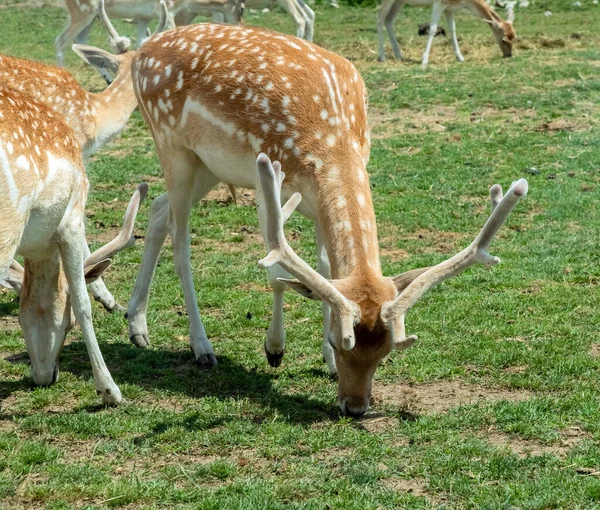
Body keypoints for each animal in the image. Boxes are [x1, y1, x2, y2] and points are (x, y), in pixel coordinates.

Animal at [0, 84, 145, 402]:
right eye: (69, 323)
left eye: (19, 321)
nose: (44, 377)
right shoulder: (73, 221)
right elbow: (82, 302)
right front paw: (109, 390)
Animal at [124, 21, 528, 416]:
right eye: (339, 341)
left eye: (385, 353)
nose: (356, 407)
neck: (331, 140)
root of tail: (139, 53)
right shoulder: (266, 177)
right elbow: (276, 272)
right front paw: (275, 349)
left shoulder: (317, 202)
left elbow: (324, 270)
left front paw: (326, 365)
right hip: (171, 146)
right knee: (181, 244)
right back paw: (201, 347)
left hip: (206, 165)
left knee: (158, 209)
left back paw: (136, 325)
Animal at [380, 0, 516, 66]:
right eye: (504, 40)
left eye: (514, 37)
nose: (509, 55)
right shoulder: (439, 3)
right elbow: (433, 29)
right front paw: (424, 61)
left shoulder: (449, 8)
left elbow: (453, 29)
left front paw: (460, 58)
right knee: (379, 19)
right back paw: (382, 57)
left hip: (400, 1)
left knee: (389, 20)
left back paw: (399, 55)